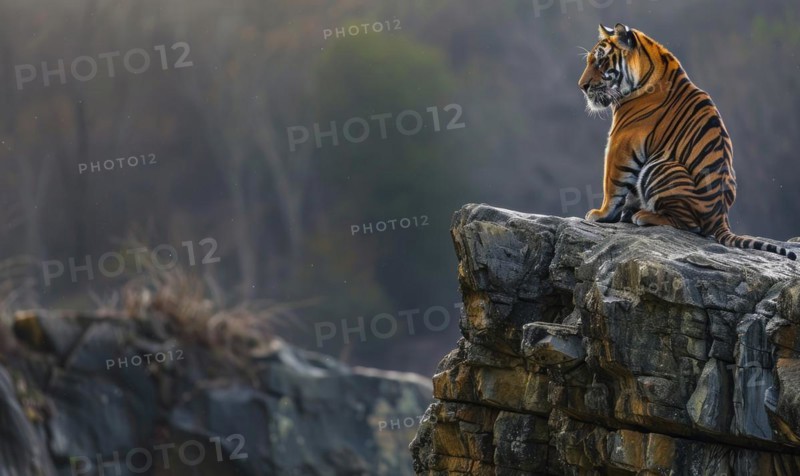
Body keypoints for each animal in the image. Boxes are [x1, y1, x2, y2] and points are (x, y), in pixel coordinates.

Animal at [578, 23, 796, 261]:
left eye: (601, 61)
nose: (582, 86)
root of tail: (721, 218)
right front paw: (625, 212)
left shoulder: (621, 141)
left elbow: (612, 182)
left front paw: (601, 214)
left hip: (660, 166)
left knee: (690, 224)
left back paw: (645, 216)